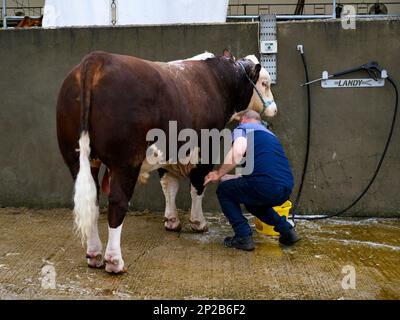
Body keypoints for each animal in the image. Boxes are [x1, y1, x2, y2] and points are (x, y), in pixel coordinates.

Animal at [55, 49, 276, 272]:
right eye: (265, 83)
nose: (274, 108)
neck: (219, 80)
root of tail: (98, 58)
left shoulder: (166, 153)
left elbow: (169, 187)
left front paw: (172, 220)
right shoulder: (206, 149)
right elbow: (198, 186)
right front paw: (198, 222)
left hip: (77, 159)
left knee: (91, 201)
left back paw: (94, 254)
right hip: (125, 162)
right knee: (118, 202)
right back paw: (114, 261)